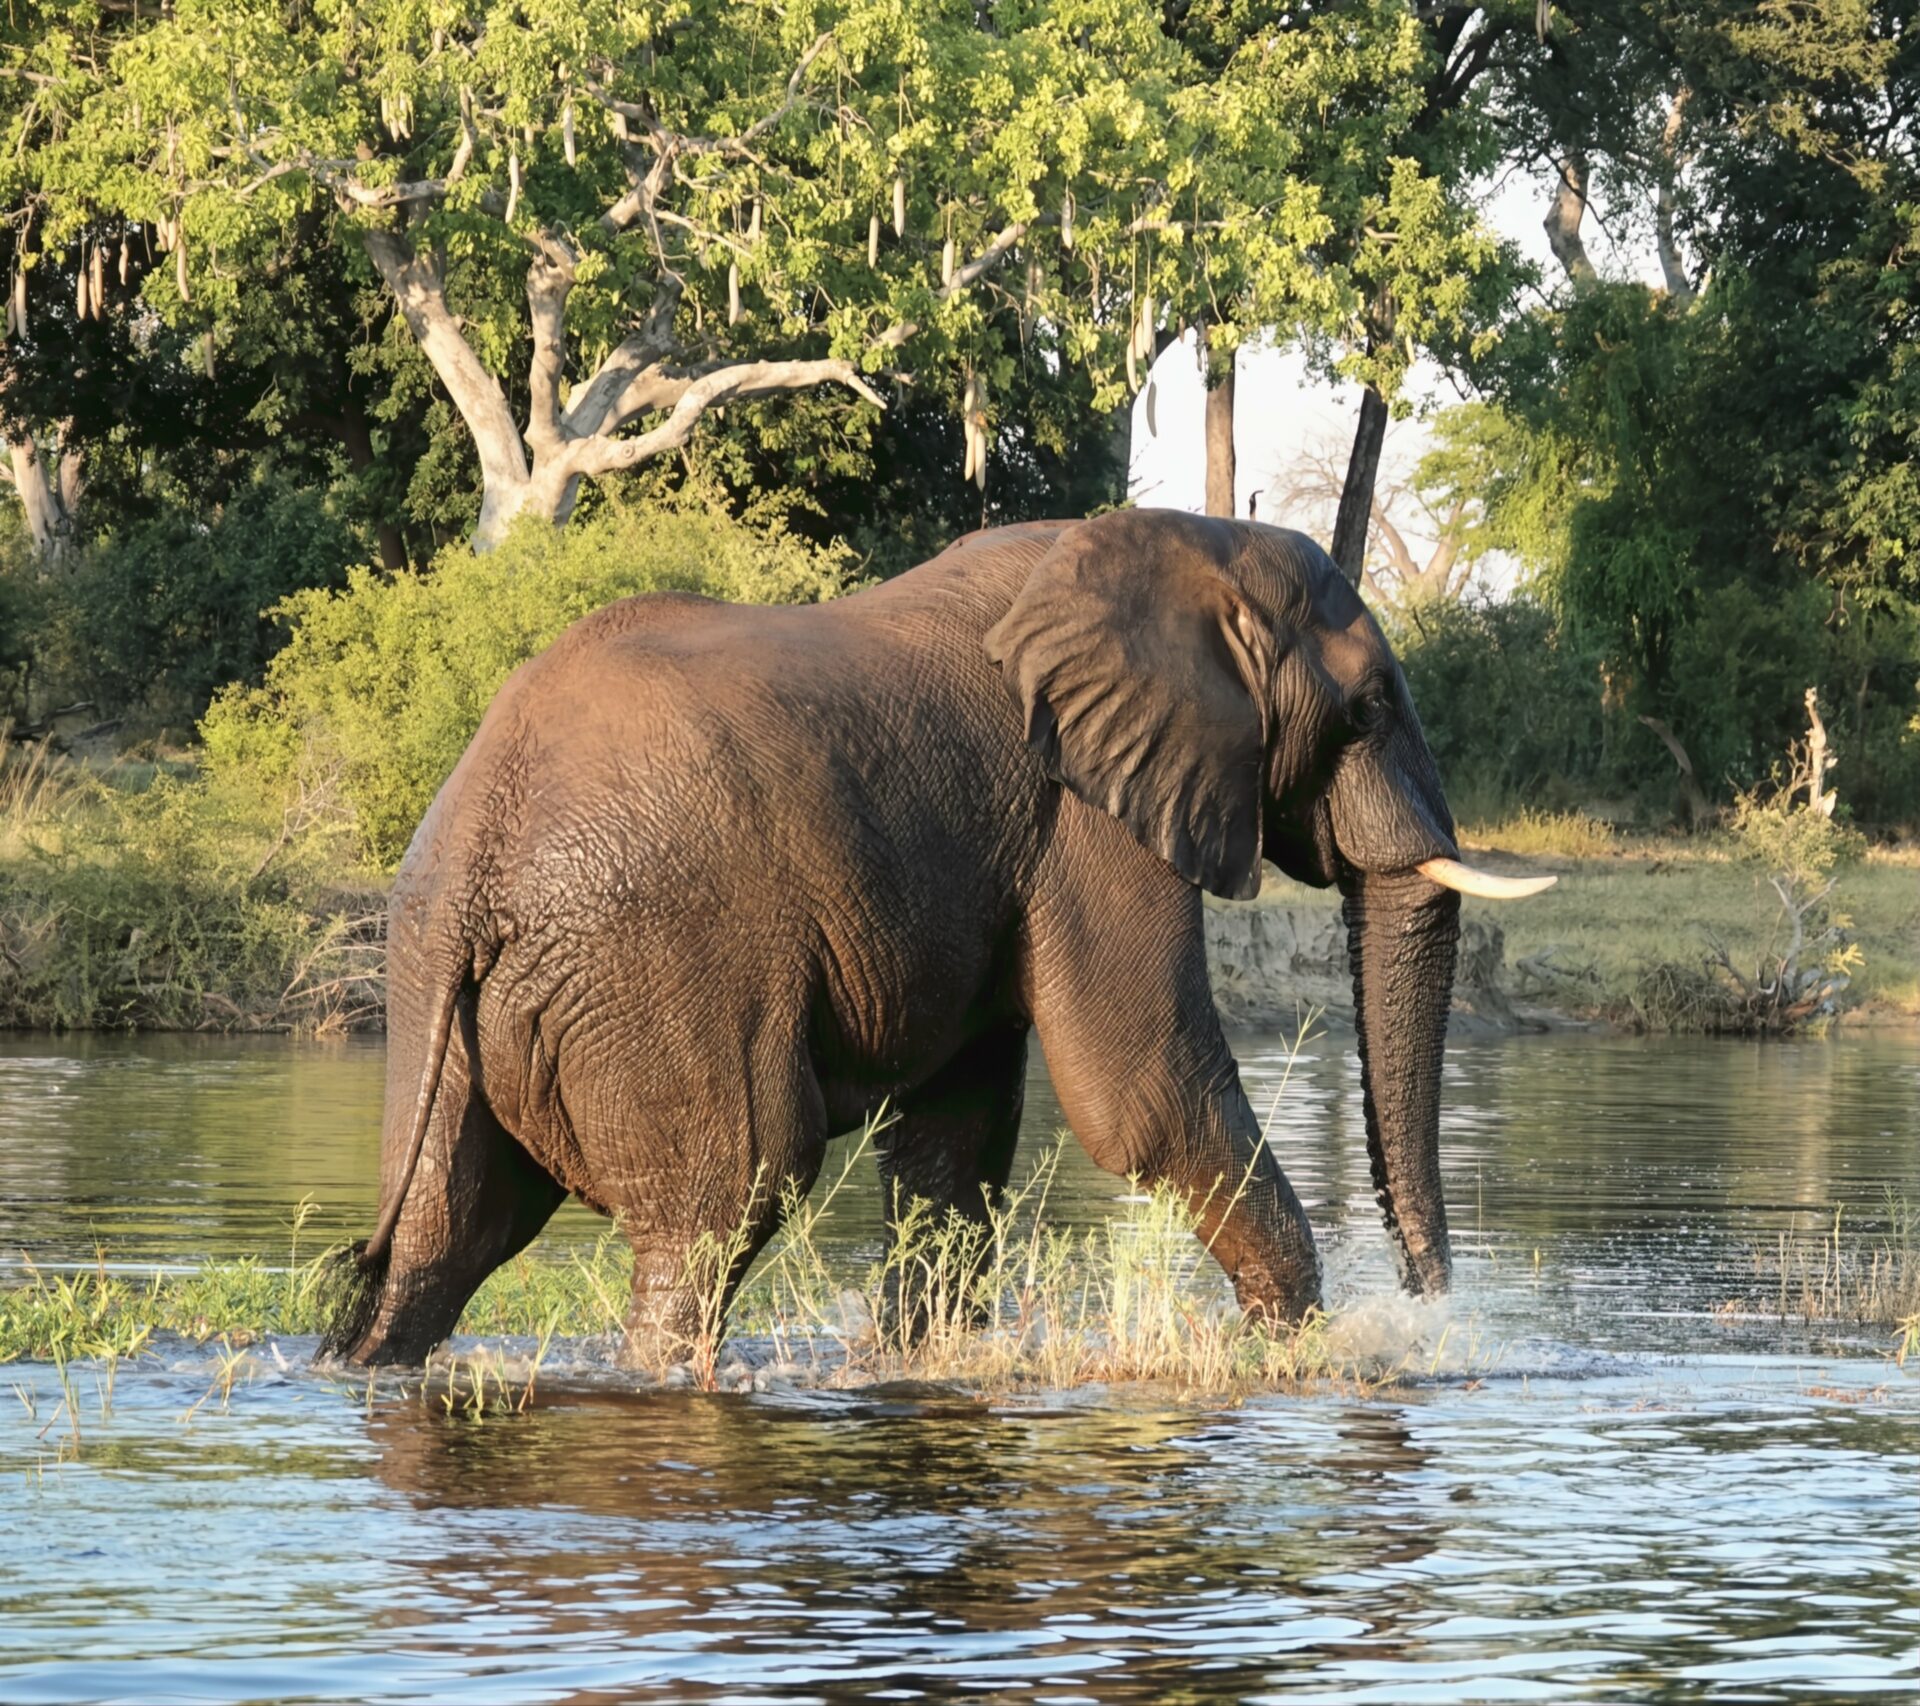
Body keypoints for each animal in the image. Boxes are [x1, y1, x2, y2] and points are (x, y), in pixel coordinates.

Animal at [322, 510, 1543, 1374]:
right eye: (1368, 708)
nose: (1430, 1315)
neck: (1189, 543)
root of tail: (477, 845)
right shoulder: (1081, 813)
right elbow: (1140, 1089)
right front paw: (1298, 1348)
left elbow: (961, 1132)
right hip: (658, 966)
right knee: (726, 1194)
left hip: (455, 1001)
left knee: (447, 1230)